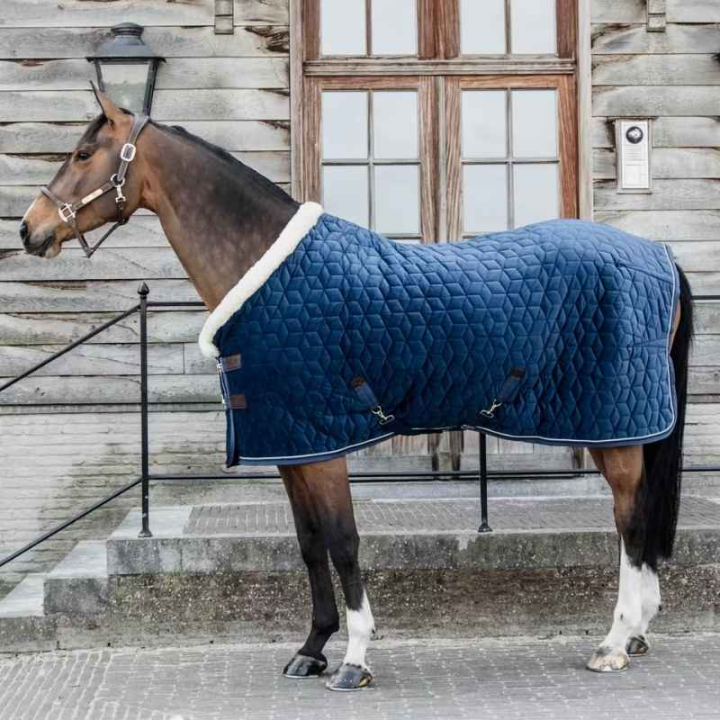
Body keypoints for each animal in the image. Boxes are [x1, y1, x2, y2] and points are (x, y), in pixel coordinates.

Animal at [19, 90, 693, 691]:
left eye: (83, 153)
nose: (30, 230)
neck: (269, 272)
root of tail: (656, 252)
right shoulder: (292, 446)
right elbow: (309, 544)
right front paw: (311, 648)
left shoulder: (324, 447)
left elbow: (343, 543)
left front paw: (354, 658)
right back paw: (637, 632)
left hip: (614, 433)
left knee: (630, 522)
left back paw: (614, 642)